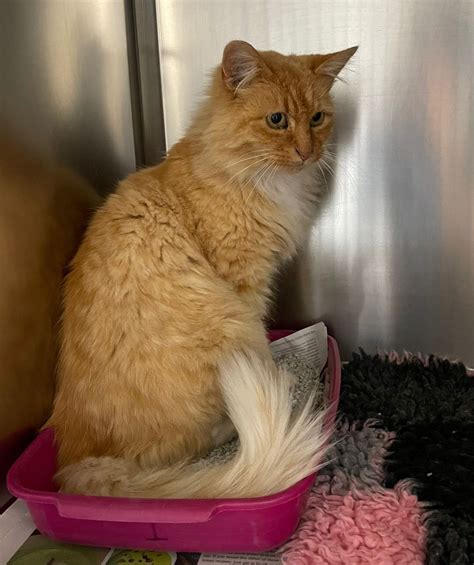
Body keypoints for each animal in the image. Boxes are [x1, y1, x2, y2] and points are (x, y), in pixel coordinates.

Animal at [50, 40, 358, 498]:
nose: (308, 153)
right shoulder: (245, 282)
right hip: (227, 325)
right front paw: (272, 377)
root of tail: (76, 462)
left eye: (317, 119)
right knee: (194, 442)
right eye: (277, 120)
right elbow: (262, 347)